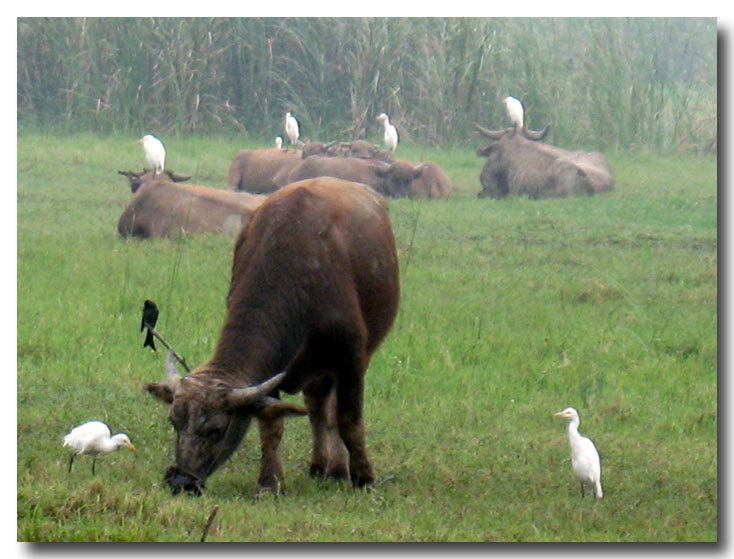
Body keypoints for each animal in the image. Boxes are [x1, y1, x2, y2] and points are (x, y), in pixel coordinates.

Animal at [144, 177, 402, 496]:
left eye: (217, 428)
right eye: (173, 422)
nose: (181, 481)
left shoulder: (351, 360)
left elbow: (349, 420)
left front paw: (364, 478)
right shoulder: (273, 367)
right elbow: (271, 422)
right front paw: (269, 482)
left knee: (330, 411)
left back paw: (339, 469)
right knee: (317, 406)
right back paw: (321, 465)